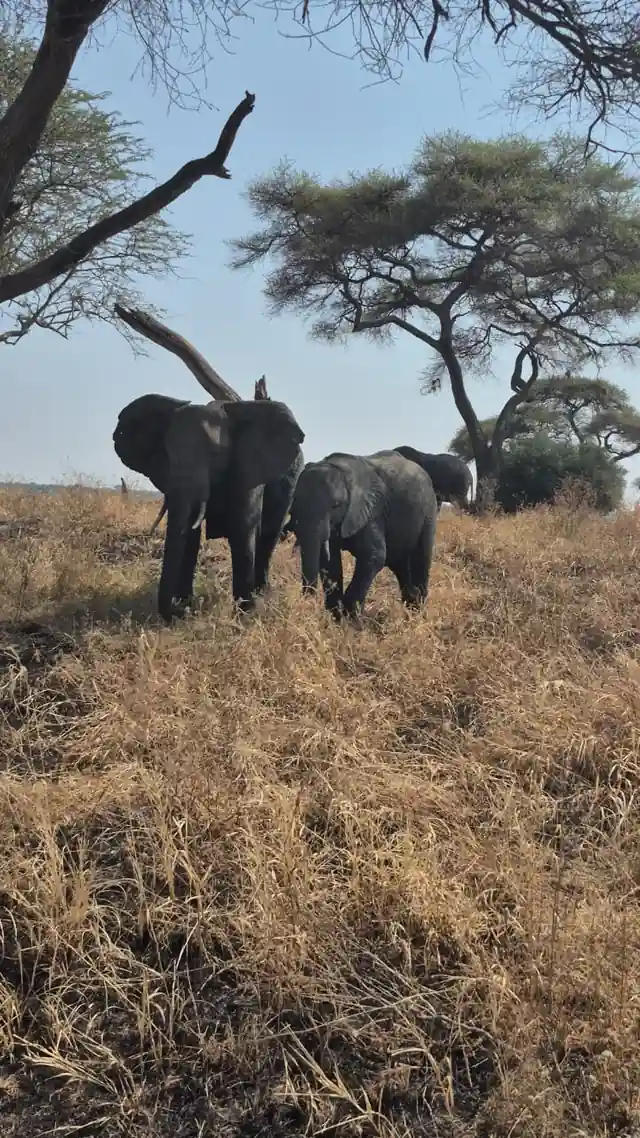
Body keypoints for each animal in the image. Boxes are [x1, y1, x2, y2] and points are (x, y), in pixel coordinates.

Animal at [113, 393, 305, 623]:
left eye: (215, 454)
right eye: (168, 453)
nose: (175, 613)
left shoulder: (247, 470)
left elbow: (243, 528)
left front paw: (244, 615)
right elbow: (189, 536)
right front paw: (185, 606)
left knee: (269, 535)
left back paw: (263, 595)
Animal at [288, 450, 438, 618]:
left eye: (336, 505)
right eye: (295, 502)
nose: (306, 604)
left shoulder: (372, 511)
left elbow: (374, 556)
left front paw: (350, 615)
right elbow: (329, 562)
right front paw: (338, 616)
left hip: (428, 512)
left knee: (421, 558)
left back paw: (418, 613)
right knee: (401, 565)